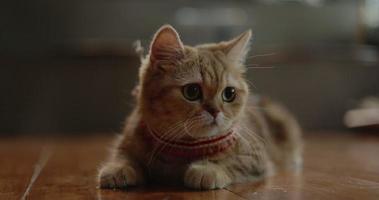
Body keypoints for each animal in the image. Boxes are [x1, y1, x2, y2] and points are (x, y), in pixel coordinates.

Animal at [98, 24, 302, 190]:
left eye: (229, 93)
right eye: (192, 91)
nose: (215, 111)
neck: (184, 149)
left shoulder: (255, 157)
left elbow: (232, 161)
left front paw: (208, 170)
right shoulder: (127, 140)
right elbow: (123, 155)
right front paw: (118, 168)